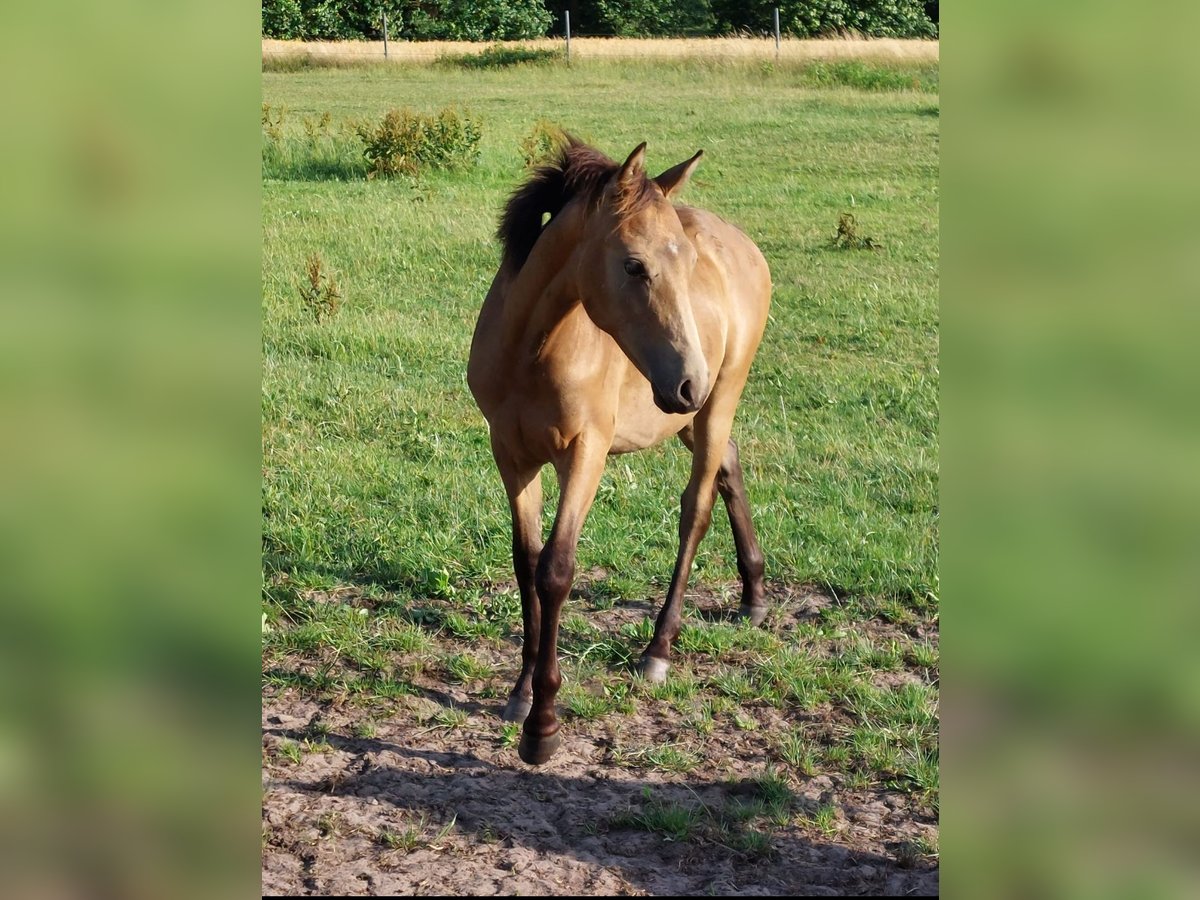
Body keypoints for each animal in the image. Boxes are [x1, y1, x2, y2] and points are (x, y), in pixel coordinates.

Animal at [463, 137, 772, 763]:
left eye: (687, 267)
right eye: (634, 264)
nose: (689, 381)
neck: (530, 353)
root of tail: (746, 247)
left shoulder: (586, 453)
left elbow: (556, 569)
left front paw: (543, 727)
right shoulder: (511, 454)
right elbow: (525, 561)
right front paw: (520, 693)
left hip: (716, 402)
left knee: (696, 509)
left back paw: (659, 648)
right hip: (686, 417)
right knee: (729, 466)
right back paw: (752, 594)